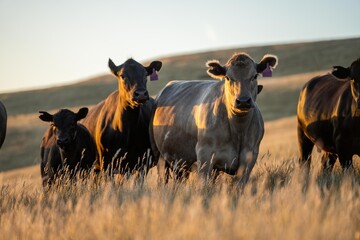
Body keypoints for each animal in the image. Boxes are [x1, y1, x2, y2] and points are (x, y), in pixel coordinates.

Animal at [150, 53, 278, 186]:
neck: (238, 130)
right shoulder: (204, 155)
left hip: (181, 163)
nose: (243, 101)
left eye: (255, 75)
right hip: (160, 157)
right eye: (227, 77)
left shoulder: (249, 157)